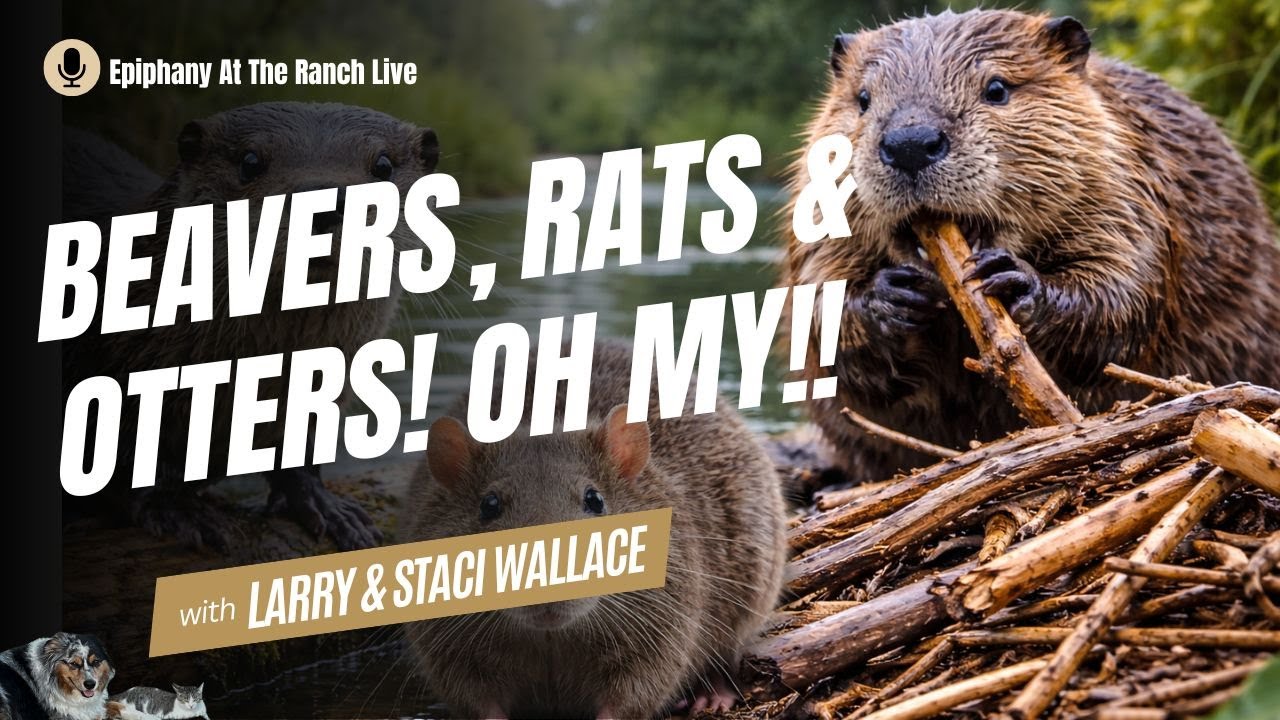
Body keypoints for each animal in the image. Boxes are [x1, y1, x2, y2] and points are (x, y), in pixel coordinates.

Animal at [786, 10, 1280, 481]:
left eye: (997, 89)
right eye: (863, 99)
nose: (910, 144)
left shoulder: (1127, 185)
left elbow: (1123, 292)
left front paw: (1014, 281)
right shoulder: (820, 221)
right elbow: (819, 304)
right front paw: (892, 296)